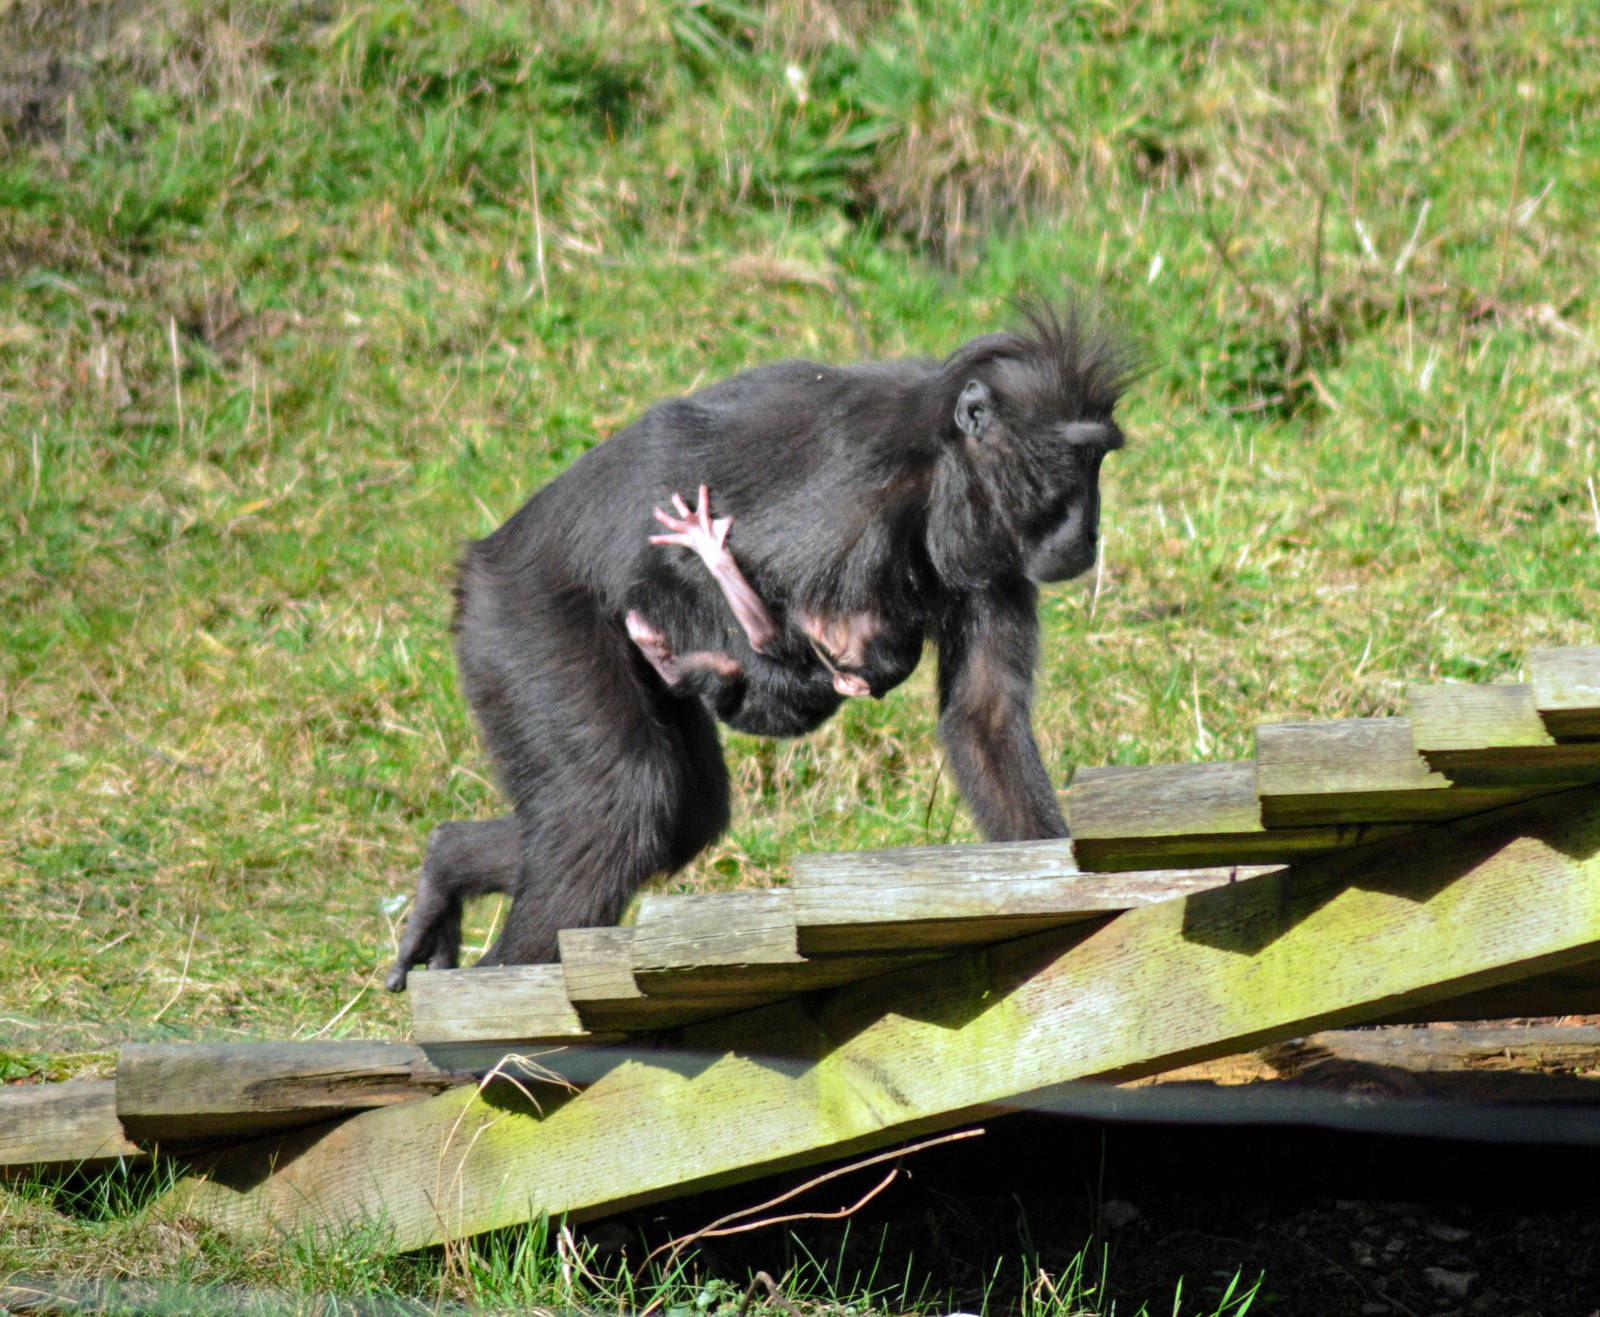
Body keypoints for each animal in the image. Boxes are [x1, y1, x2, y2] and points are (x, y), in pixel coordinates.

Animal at [385, 302, 1127, 990]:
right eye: (1076, 459)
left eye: (1099, 459)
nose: (1091, 531)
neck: (942, 458)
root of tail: (487, 556)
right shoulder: (852, 500)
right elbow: (684, 570)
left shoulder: (994, 547)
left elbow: (984, 718)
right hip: (521, 623)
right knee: (619, 801)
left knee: (676, 815)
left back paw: (447, 862)